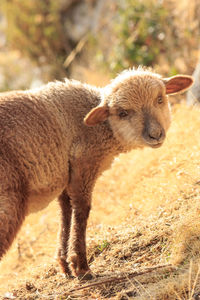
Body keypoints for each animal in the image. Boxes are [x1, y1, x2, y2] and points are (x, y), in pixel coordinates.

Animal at [0, 68, 194, 278]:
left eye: (159, 99)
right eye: (123, 113)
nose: (155, 135)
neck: (102, 127)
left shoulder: (67, 173)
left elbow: (65, 211)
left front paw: (64, 264)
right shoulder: (84, 163)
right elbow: (81, 210)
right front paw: (81, 266)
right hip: (8, 202)